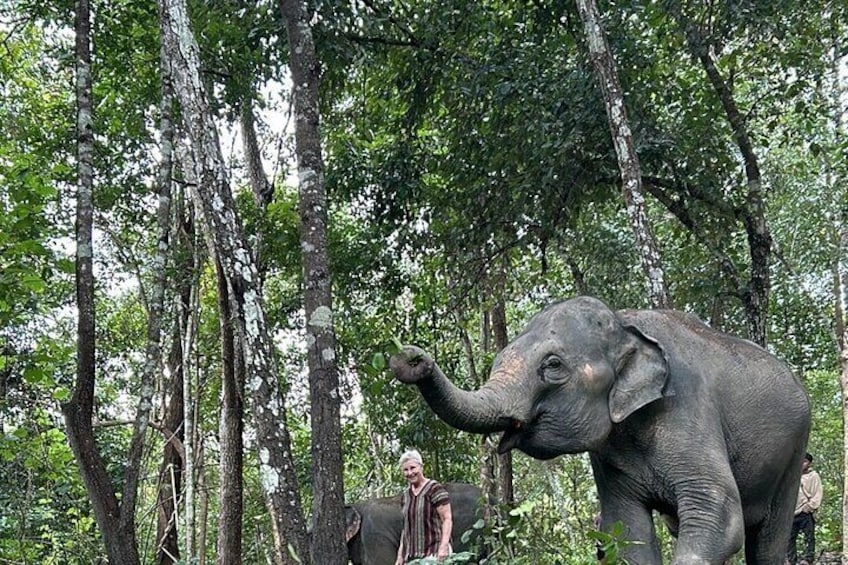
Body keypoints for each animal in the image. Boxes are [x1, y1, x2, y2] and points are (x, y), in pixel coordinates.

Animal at [390, 296, 808, 564]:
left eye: (552, 365)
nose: (412, 357)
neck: (625, 324)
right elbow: (626, 528)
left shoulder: (687, 406)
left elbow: (717, 516)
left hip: (794, 454)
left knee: (768, 542)